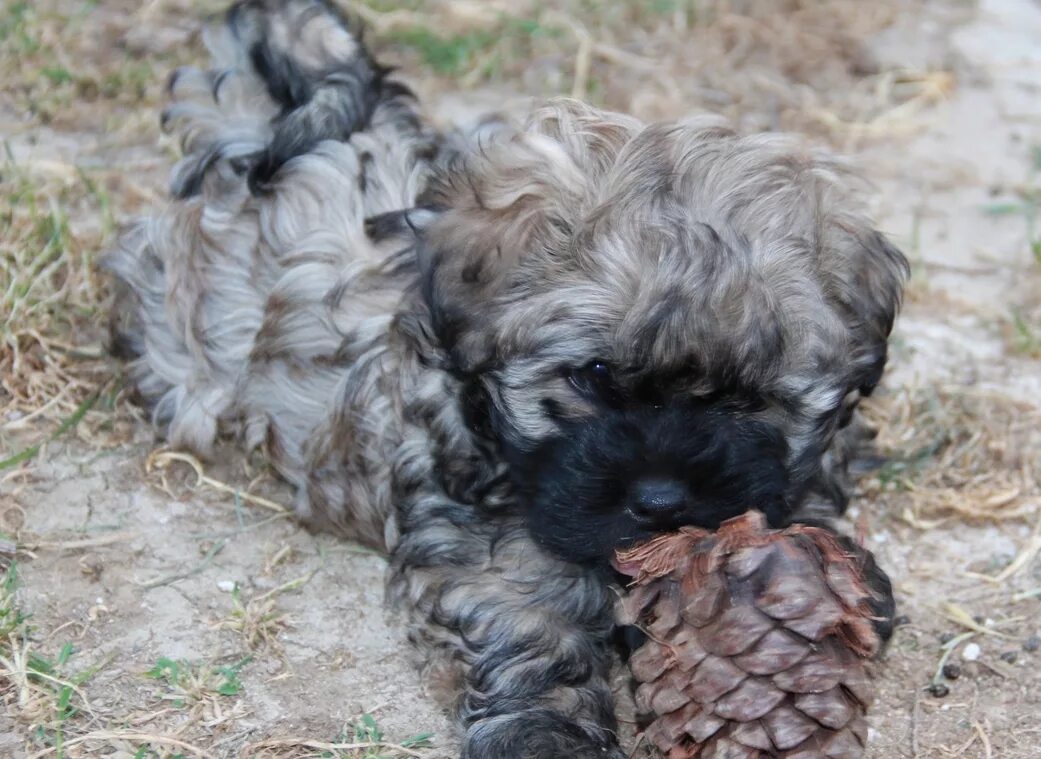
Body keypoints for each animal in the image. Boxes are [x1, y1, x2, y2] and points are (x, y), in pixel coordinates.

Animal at [103, 2, 903, 753]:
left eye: (747, 398)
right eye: (592, 376)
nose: (660, 500)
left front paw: (830, 578)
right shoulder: (483, 540)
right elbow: (529, 623)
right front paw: (545, 733)